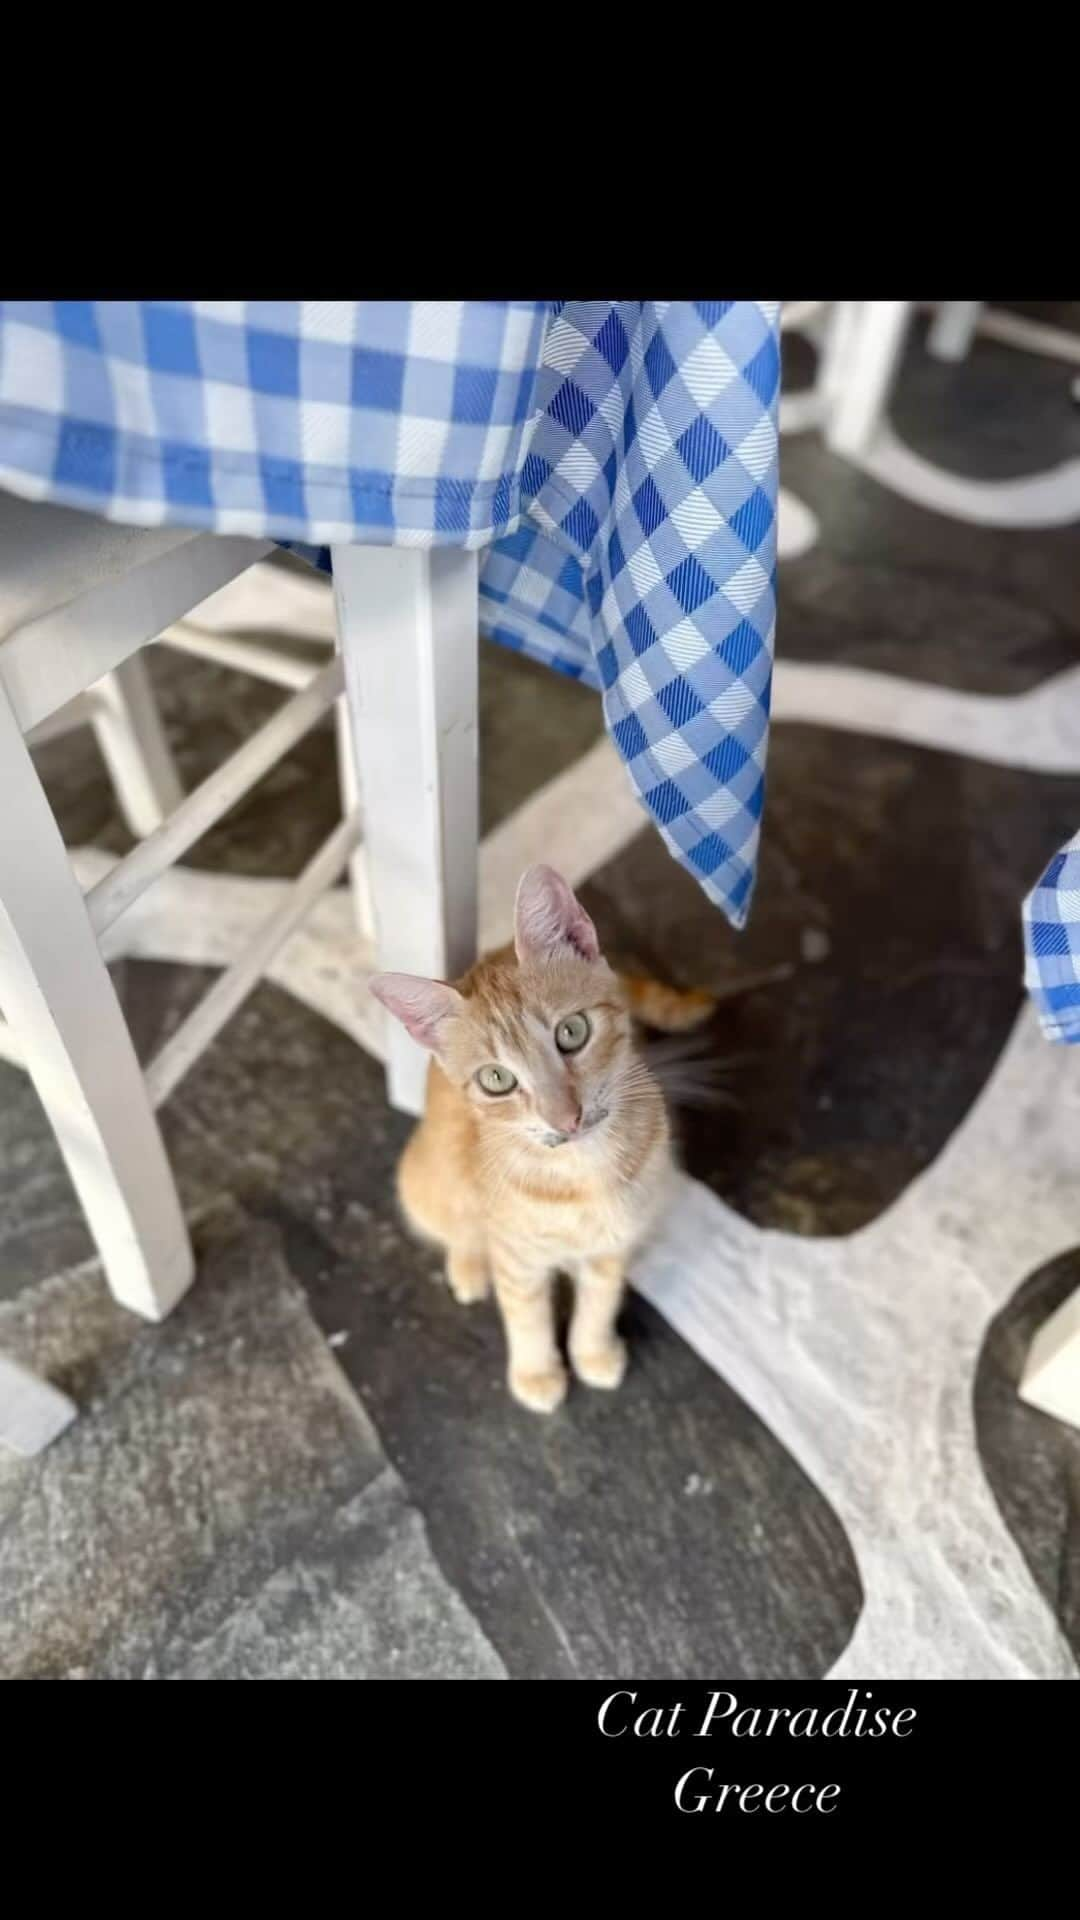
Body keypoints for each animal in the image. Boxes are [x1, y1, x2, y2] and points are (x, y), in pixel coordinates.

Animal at [368, 867, 714, 1413]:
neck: (582, 1173)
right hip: (425, 1182)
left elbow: (600, 1301)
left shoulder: (610, 1246)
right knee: (457, 1228)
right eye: (496, 1080)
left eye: (572, 1032)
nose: (567, 1118)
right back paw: (468, 1266)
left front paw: (593, 1351)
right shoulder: (517, 1259)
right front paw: (536, 1373)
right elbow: (526, 1316)